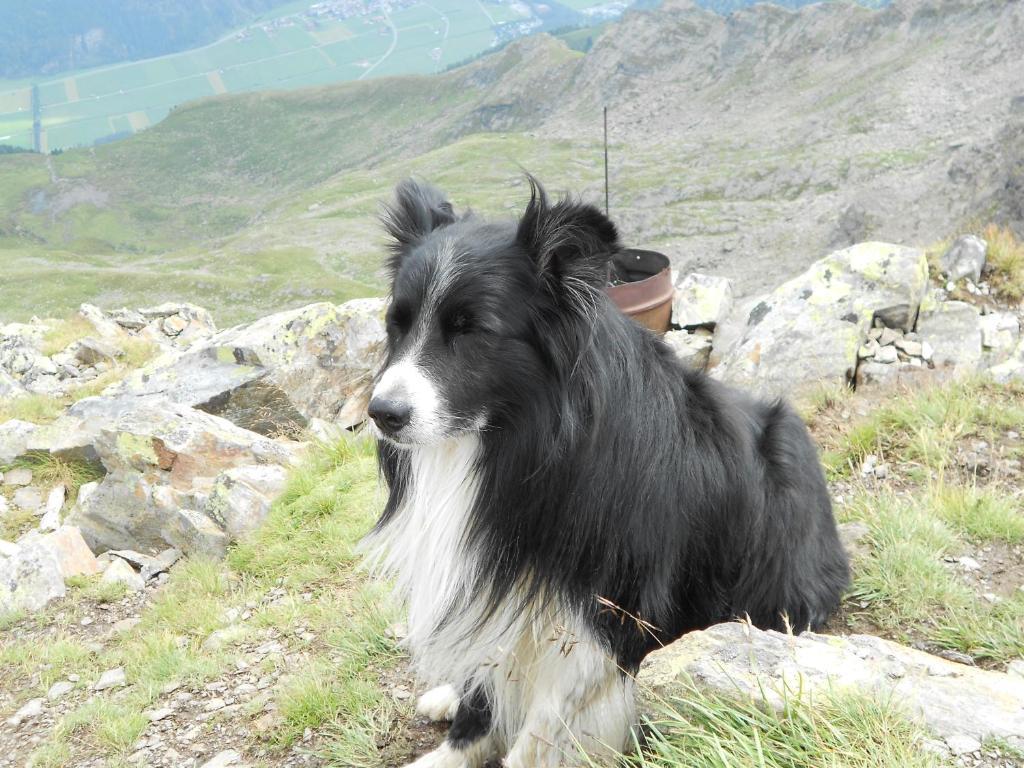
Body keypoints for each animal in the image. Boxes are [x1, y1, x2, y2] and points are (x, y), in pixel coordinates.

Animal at [360, 177, 847, 765]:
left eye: (472, 330)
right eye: (397, 325)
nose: (382, 413)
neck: (521, 443)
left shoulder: (606, 618)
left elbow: (541, 728)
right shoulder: (493, 583)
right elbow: (485, 689)